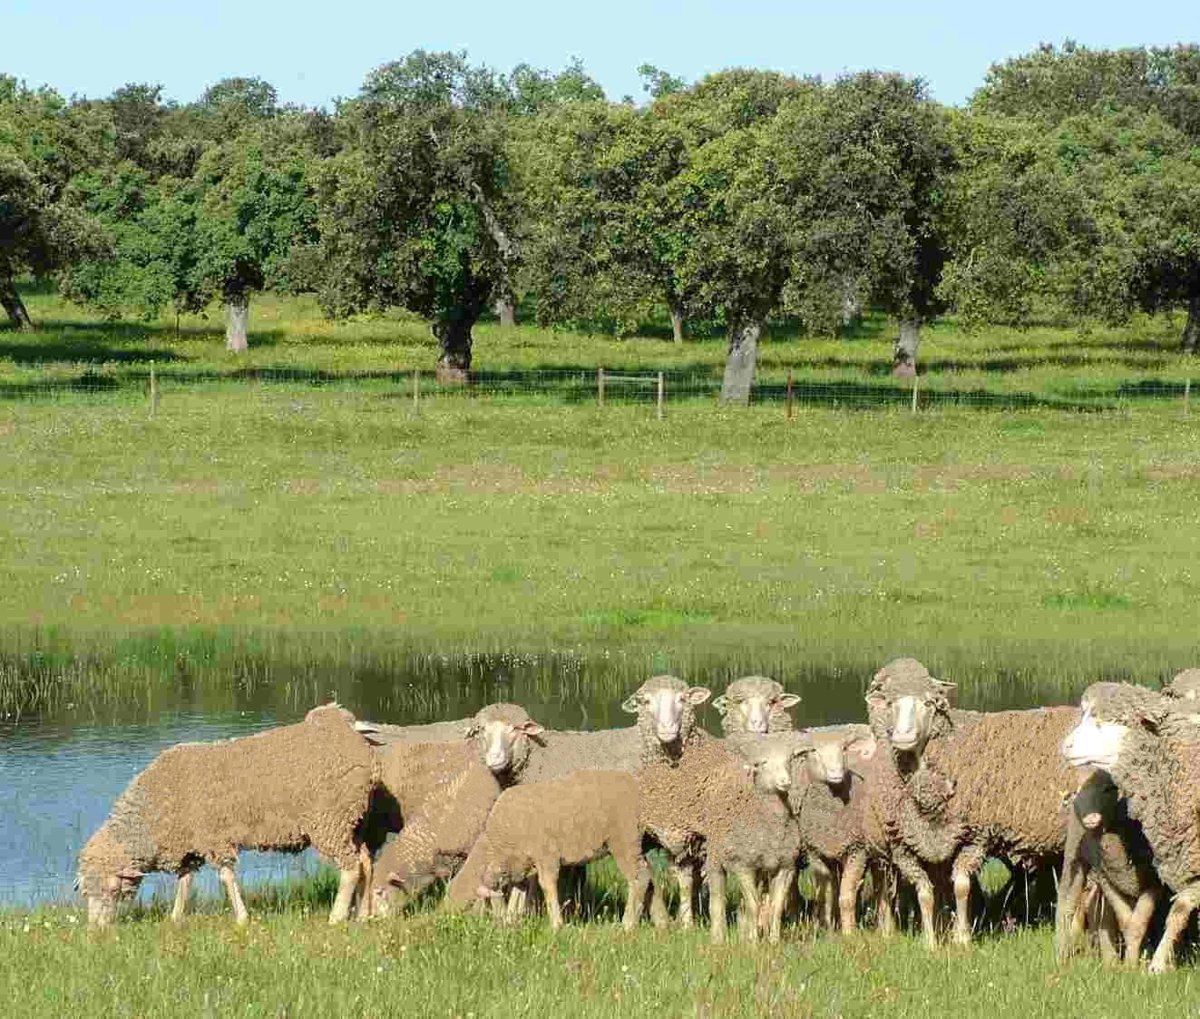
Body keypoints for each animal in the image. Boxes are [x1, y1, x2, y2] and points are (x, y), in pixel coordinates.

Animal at [77, 703, 376, 928]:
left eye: (112, 889)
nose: (95, 931)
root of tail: (347, 730)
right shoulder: (190, 846)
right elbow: (185, 881)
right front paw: (175, 917)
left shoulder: (214, 839)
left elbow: (226, 877)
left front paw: (242, 918)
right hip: (352, 821)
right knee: (365, 861)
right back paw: (363, 914)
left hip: (329, 821)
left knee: (350, 868)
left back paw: (336, 917)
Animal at [444, 770, 651, 931]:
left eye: (469, 904)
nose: (445, 923)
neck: (498, 842)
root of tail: (635, 785)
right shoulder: (521, 865)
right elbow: (518, 891)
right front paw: (511, 920)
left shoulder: (546, 855)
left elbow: (547, 885)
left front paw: (556, 924)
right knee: (648, 872)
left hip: (624, 839)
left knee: (639, 876)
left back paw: (628, 923)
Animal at [638, 731, 804, 943]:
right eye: (763, 763)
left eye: (789, 760)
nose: (785, 781)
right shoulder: (744, 865)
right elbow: (753, 905)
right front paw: (754, 943)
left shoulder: (786, 867)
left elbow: (775, 907)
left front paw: (773, 941)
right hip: (713, 856)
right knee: (717, 897)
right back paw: (717, 936)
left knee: (687, 881)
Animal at [866, 658, 1081, 947]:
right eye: (890, 704)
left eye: (929, 704)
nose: (903, 736)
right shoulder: (907, 845)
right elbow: (926, 892)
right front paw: (932, 942)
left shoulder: (975, 836)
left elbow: (960, 886)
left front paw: (962, 939)